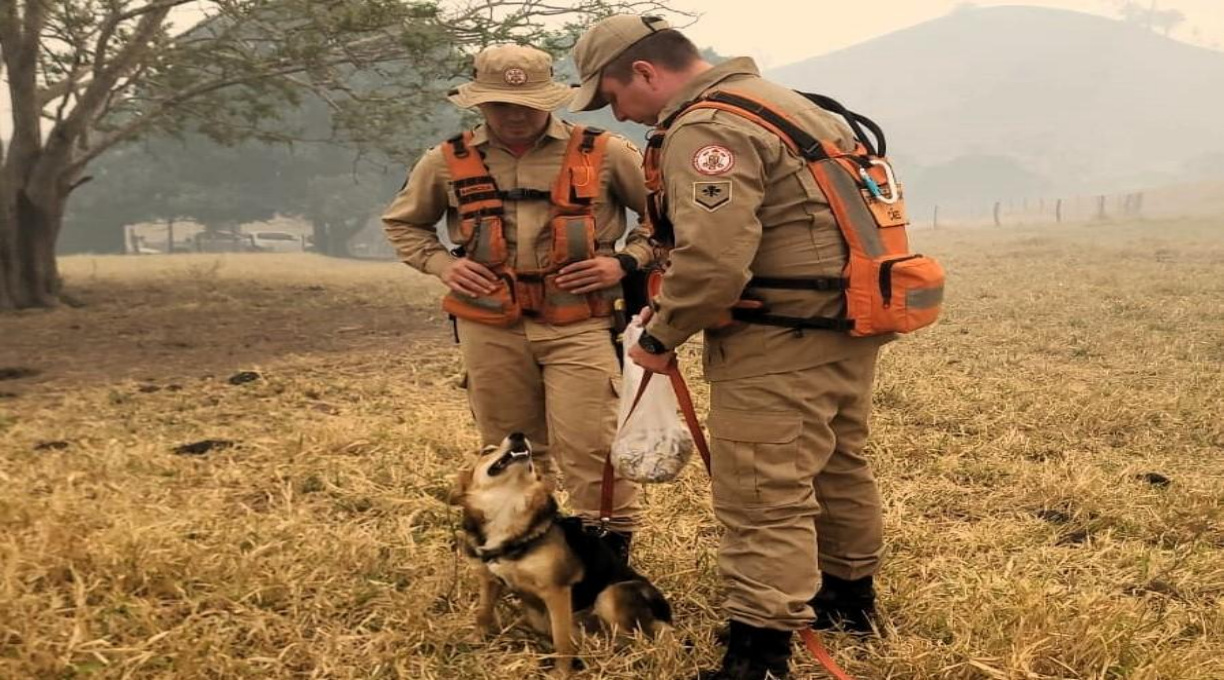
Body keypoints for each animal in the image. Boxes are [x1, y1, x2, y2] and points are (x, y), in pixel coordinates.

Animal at [452, 432, 675, 675]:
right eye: (487, 451)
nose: (518, 435)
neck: (507, 508)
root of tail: (666, 615)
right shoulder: (489, 579)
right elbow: (483, 613)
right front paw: (474, 641)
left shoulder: (556, 590)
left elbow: (562, 639)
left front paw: (561, 672)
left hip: (611, 595)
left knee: (637, 640)